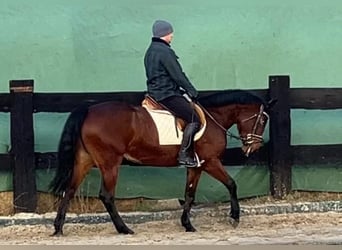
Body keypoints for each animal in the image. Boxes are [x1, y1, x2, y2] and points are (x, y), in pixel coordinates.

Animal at [48, 89, 276, 236]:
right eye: (263, 119)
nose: (253, 147)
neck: (214, 118)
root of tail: (89, 109)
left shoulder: (196, 165)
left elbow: (189, 193)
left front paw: (187, 225)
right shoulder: (210, 162)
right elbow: (231, 184)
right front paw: (234, 218)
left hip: (84, 160)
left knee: (69, 190)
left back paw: (58, 228)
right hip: (110, 163)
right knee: (107, 196)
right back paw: (124, 229)